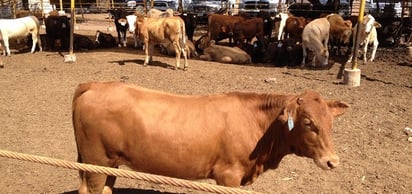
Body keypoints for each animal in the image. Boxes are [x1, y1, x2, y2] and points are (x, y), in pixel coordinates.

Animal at [73, 81, 348, 193]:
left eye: (331, 122)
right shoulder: (228, 175)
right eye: (308, 122)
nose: (332, 161)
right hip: (97, 161)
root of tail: (96, 85)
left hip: (109, 163)